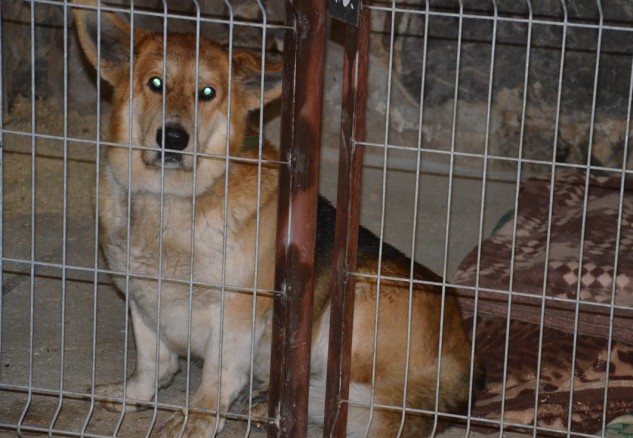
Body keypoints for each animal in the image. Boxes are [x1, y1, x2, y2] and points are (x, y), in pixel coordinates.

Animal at [72, 1, 483, 436]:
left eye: (207, 93)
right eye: (155, 84)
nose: (173, 138)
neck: (172, 198)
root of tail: (463, 359)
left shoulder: (237, 311)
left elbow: (216, 374)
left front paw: (199, 416)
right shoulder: (142, 302)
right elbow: (153, 364)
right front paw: (134, 394)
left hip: (354, 301)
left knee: (355, 398)